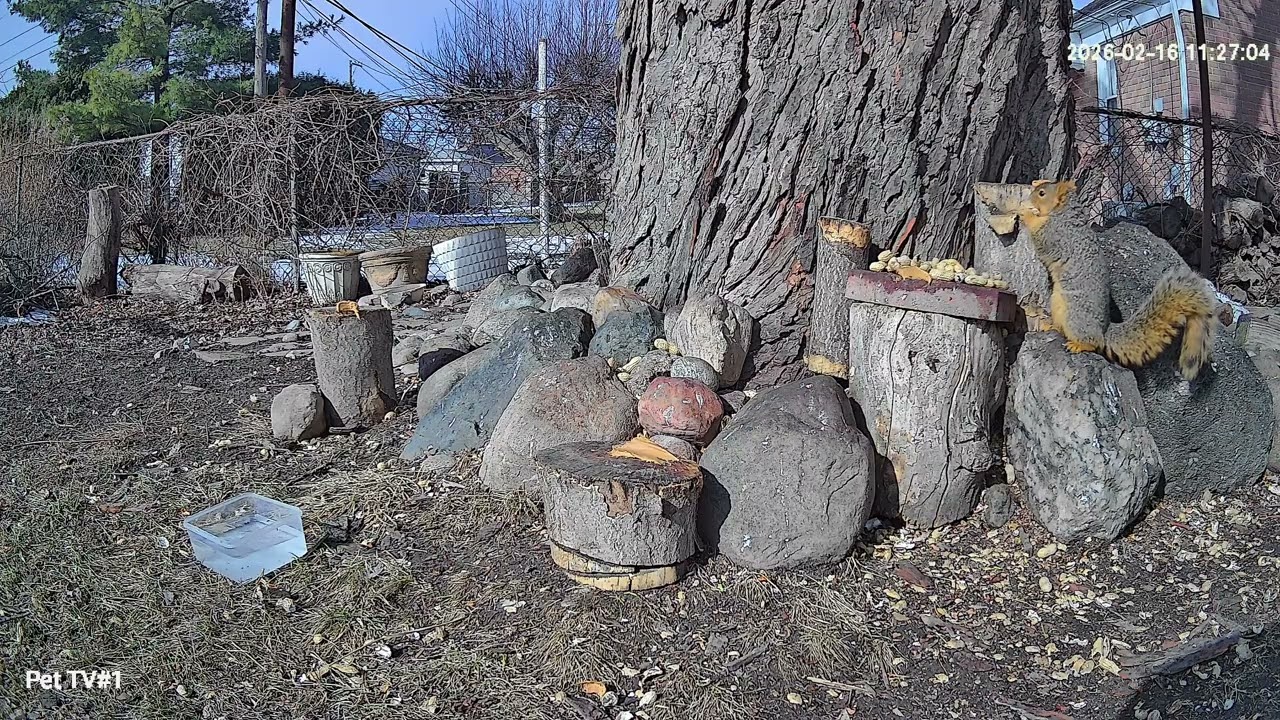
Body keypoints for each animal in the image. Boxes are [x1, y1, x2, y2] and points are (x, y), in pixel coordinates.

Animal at [1009, 179, 1218, 381]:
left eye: (1042, 193)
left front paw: (1025, 213)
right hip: (1057, 303)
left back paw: (1080, 345)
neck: (1064, 212)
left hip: (1076, 316)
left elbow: (1040, 236)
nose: (1029, 197)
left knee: (1094, 342)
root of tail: (1104, 331)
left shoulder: (1056, 235)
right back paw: (1050, 325)